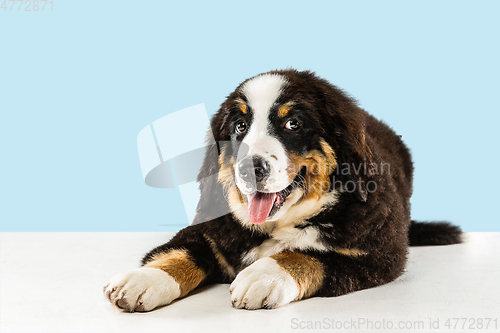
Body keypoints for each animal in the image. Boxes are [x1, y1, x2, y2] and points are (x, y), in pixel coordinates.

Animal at [103, 68, 462, 310]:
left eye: (293, 124)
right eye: (240, 127)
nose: (249, 168)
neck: (277, 225)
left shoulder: (379, 255)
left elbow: (311, 256)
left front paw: (264, 275)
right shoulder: (209, 230)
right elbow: (181, 251)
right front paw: (144, 279)